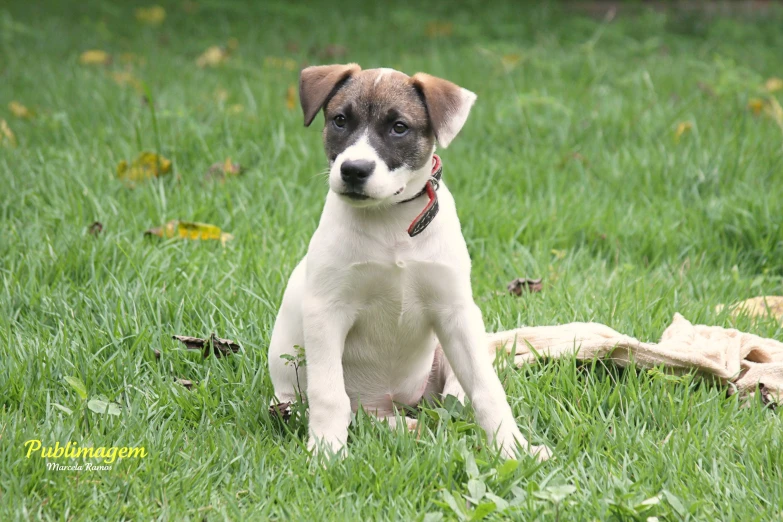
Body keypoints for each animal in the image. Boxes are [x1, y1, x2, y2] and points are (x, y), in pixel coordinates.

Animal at [270, 64, 552, 460]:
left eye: (399, 127)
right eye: (340, 120)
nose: (353, 170)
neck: (390, 220)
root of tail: (390, 402)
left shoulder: (456, 313)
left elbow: (487, 389)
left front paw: (512, 447)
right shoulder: (326, 312)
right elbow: (328, 394)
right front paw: (327, 452)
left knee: (453, 398)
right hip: (313, 401)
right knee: (363, 417)